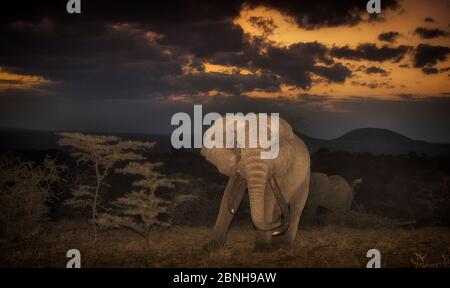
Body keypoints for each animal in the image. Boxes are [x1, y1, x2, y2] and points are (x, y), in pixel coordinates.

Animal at [200, 115, 310, 252]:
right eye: (237, 144)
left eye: (272, 148)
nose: (278, 226)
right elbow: (230, 193)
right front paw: (211, 246)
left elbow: (268, 197)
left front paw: (262, 249)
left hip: (306, 176)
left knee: (297, 207)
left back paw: (284, 245)